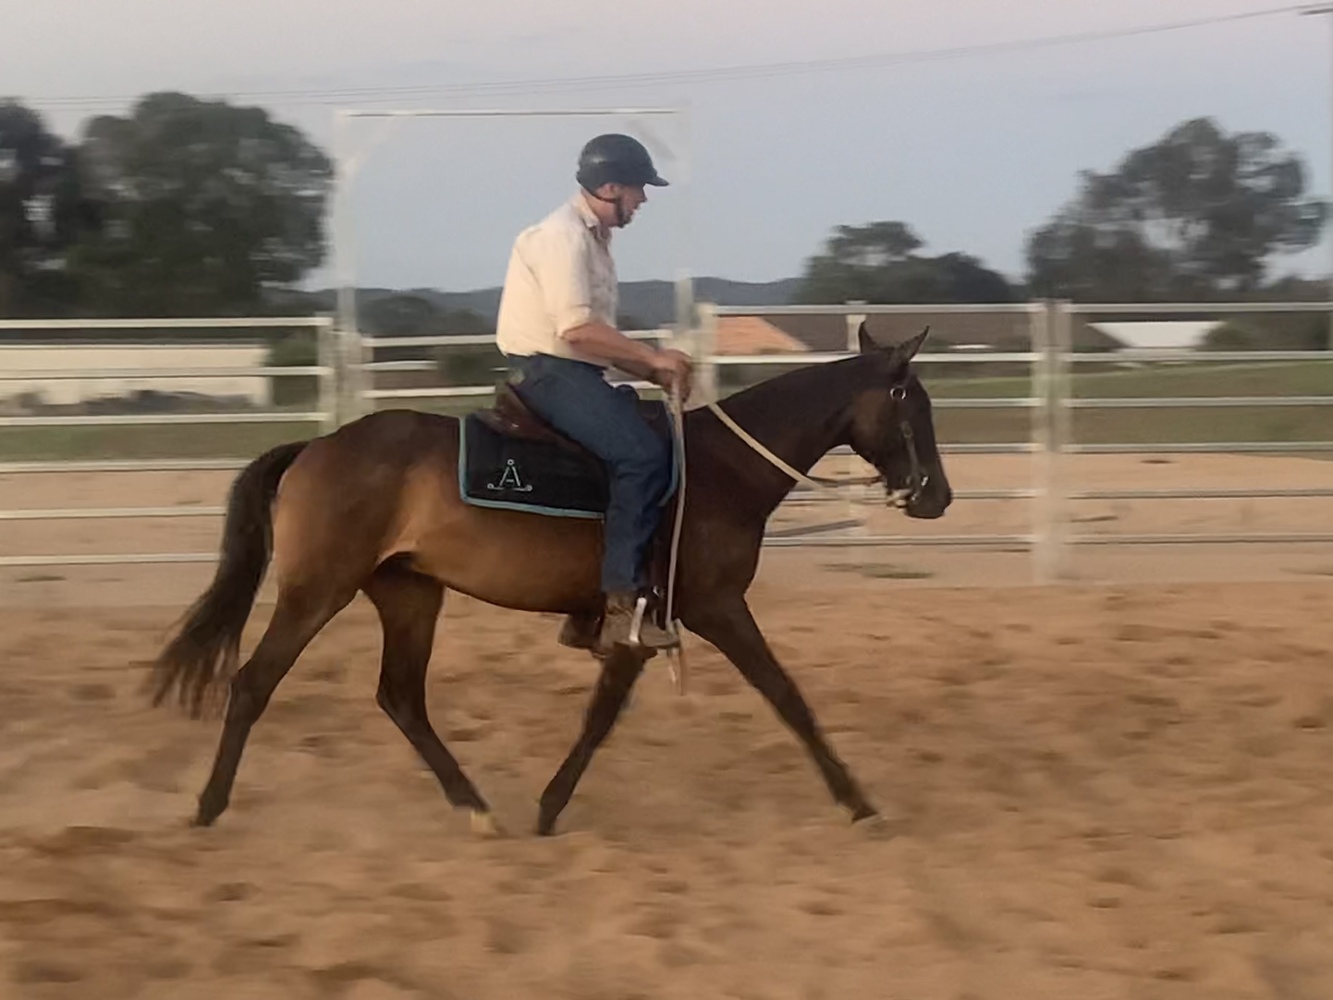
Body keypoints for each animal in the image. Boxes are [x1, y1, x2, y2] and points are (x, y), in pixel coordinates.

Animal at [149, 322, 952, 836]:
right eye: (914, 405)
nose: (936, 496)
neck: (720, 472)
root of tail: (316, 446)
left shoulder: (643, 626)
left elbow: (604, 714)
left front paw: (545, 805)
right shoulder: (713, 608)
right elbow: (785, 698)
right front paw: (858, 802)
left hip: (409, 593)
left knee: (400, 697)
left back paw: (476, 808)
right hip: (318, 590)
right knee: (254, 682)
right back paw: (208, 806)